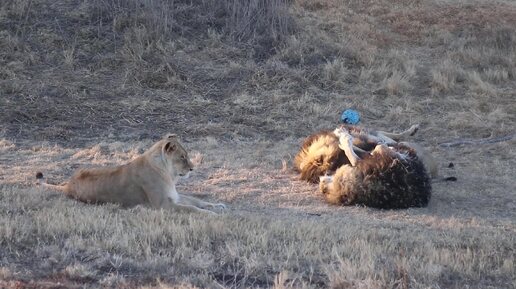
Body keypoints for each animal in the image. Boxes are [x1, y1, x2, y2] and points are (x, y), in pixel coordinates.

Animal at [37, 134, 227, 213]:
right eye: (182, 157)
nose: (192, 169)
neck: (167, 172)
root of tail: (67, 185)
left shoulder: (174, 196)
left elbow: (197, 201)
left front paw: (217, 206)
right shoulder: (163, 205)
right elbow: (192, 208)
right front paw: (211, 215)